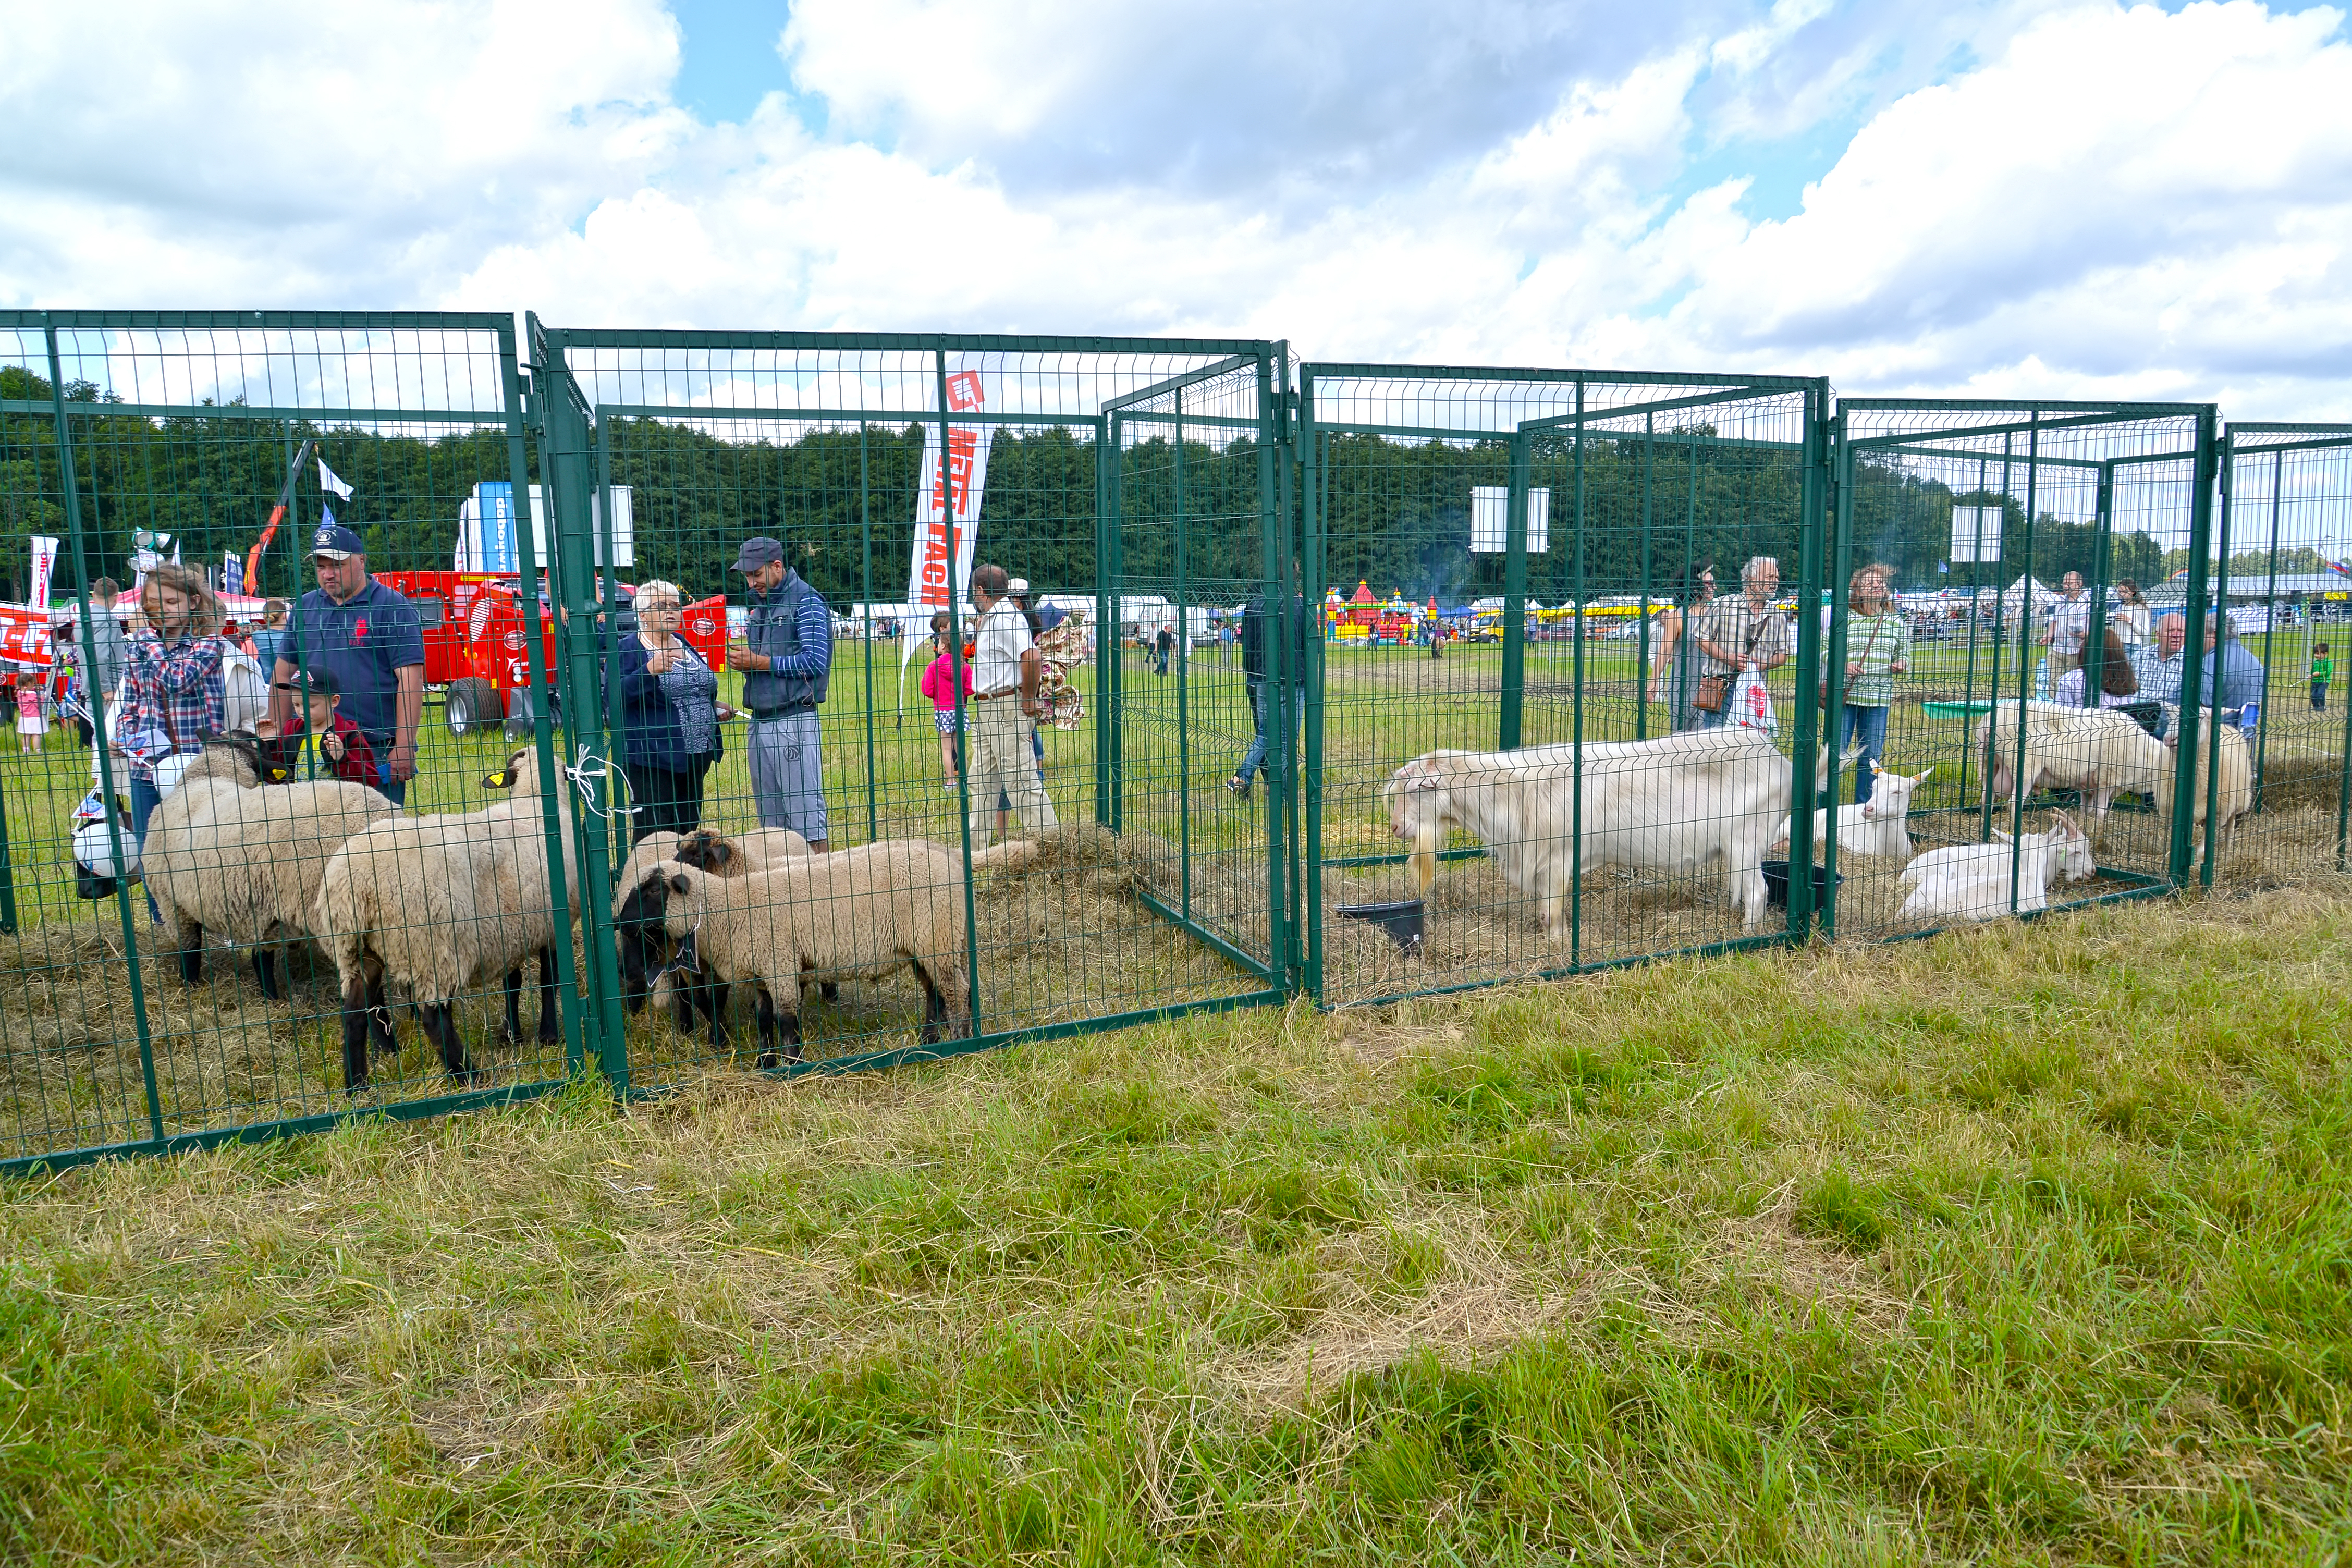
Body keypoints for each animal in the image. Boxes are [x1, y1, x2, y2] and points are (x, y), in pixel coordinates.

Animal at [141, 729, 395, 1001]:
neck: (209, 776)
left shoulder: (171, 902)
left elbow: (191, 953)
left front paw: (189, 987)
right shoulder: (258, 907)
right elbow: (261, 958)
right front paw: (271, 998)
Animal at [313, 748, 583, 1091]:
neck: (533, 797)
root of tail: (356, 882)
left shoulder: (510, 924)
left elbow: (513, 982)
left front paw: (513, 1035)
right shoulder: (553, 923)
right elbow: (550, 980)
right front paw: (548, 1035)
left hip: (355, 948)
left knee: (354, 1013)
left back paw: (357, 1086)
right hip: (433, 946)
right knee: (434, 1019)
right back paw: (469, 1075)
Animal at [1383, 729, 1787, 930]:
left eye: (1415, 789)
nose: (1396, 827)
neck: (1511, 791)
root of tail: (1778, 759)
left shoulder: (1557, 858)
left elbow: (1551, 912)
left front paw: (1556, 945)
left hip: (1747, 838)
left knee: (1757, 892)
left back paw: (1747, 935)